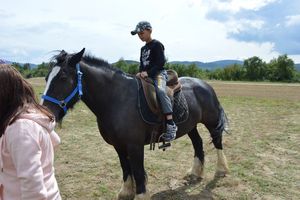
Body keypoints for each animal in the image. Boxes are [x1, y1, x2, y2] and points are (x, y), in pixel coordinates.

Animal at [41, 48, 229, 200]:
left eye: (63, 77)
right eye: (46, 78)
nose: (47, 113)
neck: (116, 99)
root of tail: (205, 85)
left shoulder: (134, 145)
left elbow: (137, 171)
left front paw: (140, 195)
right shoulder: (118, 145)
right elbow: (126, 167)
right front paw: (126, 192)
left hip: (211, 122)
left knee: (217, 141)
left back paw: (221, 169)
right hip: (191, 125)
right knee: (198, 144)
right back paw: (195, 173)